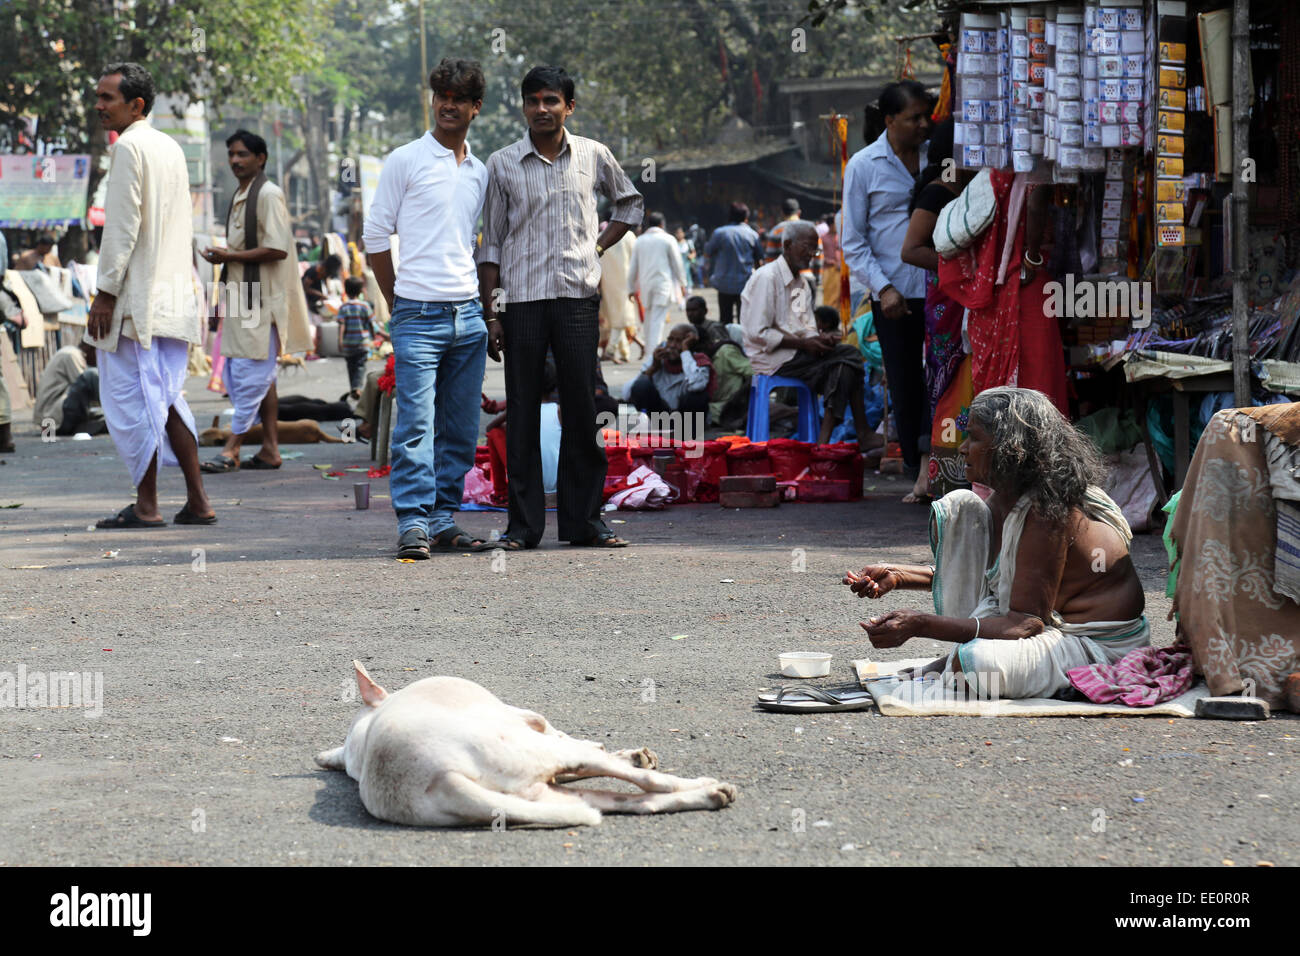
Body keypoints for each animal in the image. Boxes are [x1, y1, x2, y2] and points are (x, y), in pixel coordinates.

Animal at [314, 660, 738, 827]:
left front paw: (628, 753)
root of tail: (437, 779)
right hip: (527, 752)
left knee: (636, 803)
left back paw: (708, 796)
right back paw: (704, 785)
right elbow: (559, 731)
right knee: (643, 782)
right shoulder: (524, 719)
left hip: (537, 796)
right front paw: (625, 754)